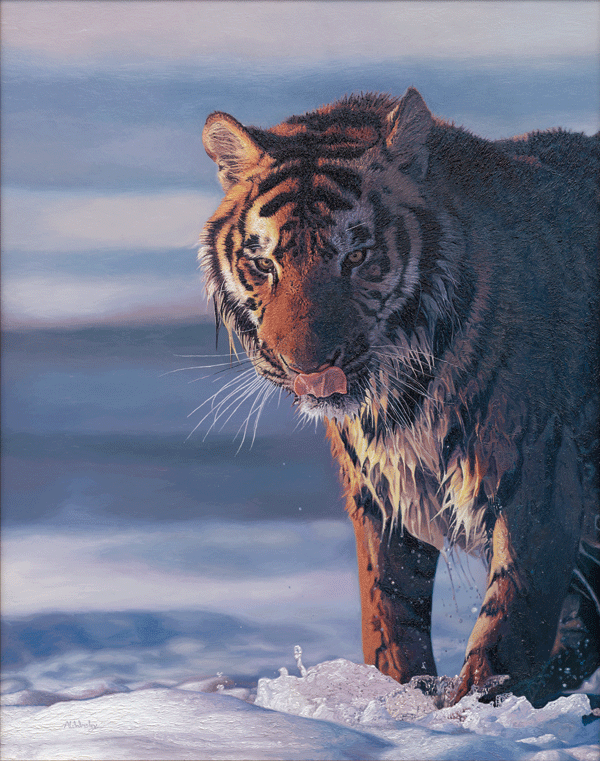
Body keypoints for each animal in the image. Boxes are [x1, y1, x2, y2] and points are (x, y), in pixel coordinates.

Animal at [199, 87, 599, 706]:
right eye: (263, 264)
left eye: (356, 257)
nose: (307, 368)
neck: (405, 396)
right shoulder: (380, 493)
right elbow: (389, 617)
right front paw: (403, 701)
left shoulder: (539, 476)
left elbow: (509, 629)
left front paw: (473, 711)